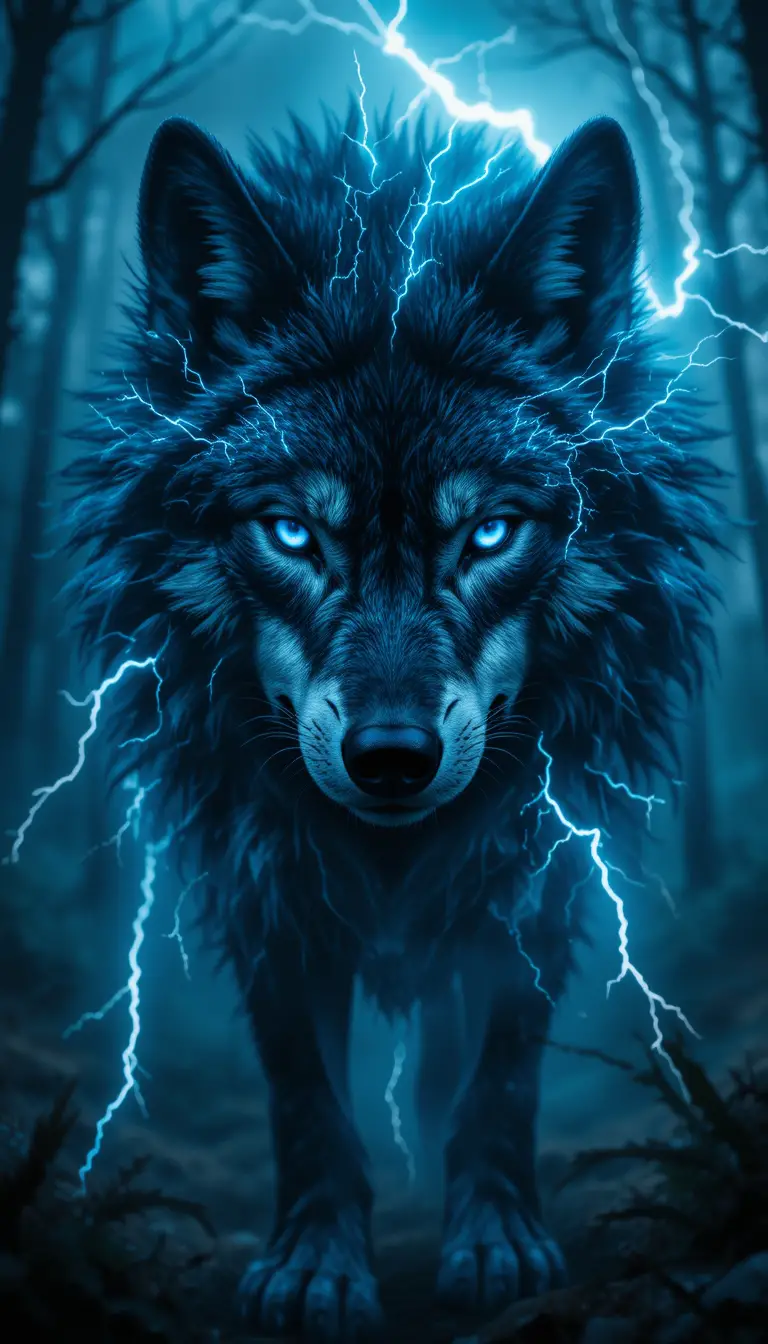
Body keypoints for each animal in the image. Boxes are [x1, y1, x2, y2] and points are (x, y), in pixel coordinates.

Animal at [66, 105, 722, 1340]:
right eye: (291, 533)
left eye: (490, 533)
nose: (390, 760)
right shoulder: (263, 881)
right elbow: (306, 1099)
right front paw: (315, 1267)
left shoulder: (534, 870)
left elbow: (498, 1077)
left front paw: (495, 1241)